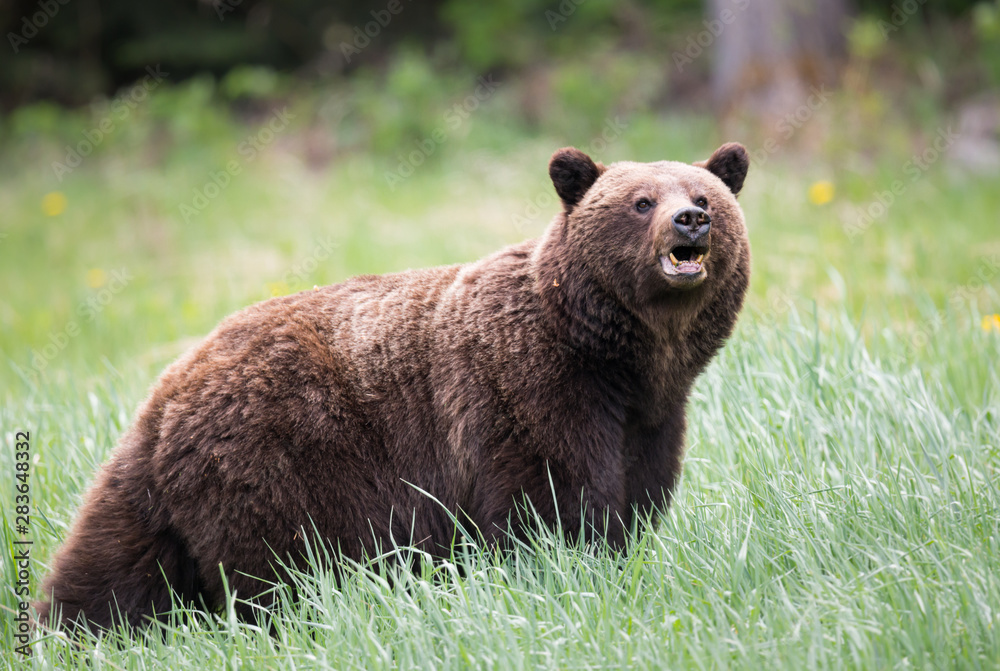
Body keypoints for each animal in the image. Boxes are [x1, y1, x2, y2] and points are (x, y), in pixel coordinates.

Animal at [37, 142, 752, 632]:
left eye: (706, 194)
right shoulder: (530, 388)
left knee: (111, 568)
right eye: (641, 201)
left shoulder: (651, 417)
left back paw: (70, 630)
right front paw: (569, 566)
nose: (690, 220)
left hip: (153, 490)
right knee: (276, 569)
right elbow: (551, 500)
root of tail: (167, 391)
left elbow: (637, 493)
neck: (621, 357)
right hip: (278, 455)